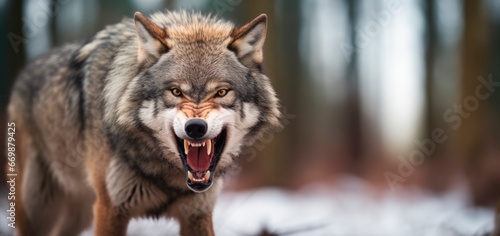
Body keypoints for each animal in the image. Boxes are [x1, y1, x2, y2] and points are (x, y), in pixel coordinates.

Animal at [8, 11, 282, 236]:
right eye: (175, 92)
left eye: (222, 92)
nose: (195, 127)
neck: (168, 176)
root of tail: (22, 76)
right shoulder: (111, 208)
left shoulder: (198, 213)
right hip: (39, 207)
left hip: (79, 214)